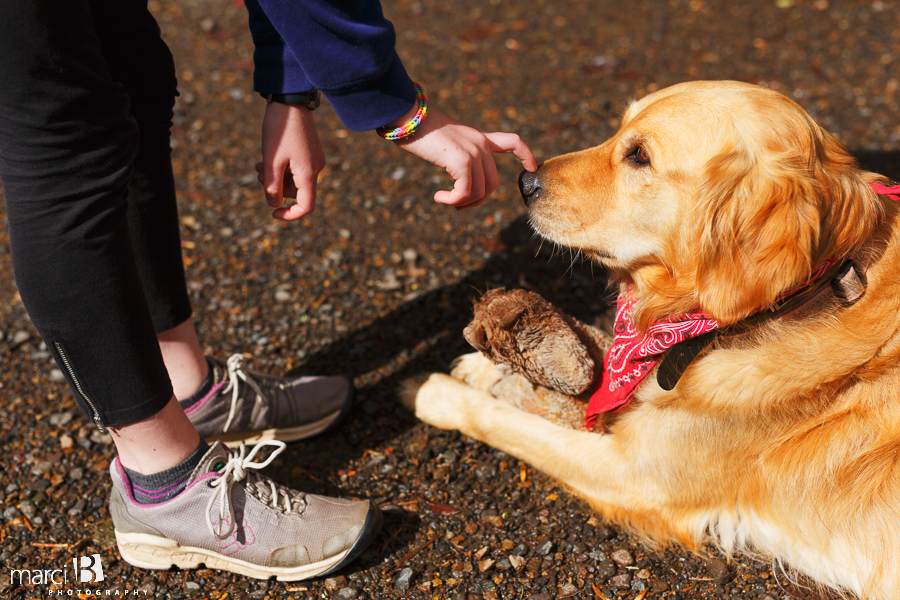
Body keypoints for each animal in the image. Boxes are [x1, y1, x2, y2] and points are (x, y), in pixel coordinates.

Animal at [404, 81, 900, 600]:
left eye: (639, 156)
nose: (524, 181)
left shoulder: (636, 478)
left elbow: (510, 424)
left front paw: (434, 393)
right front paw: (487, 368)